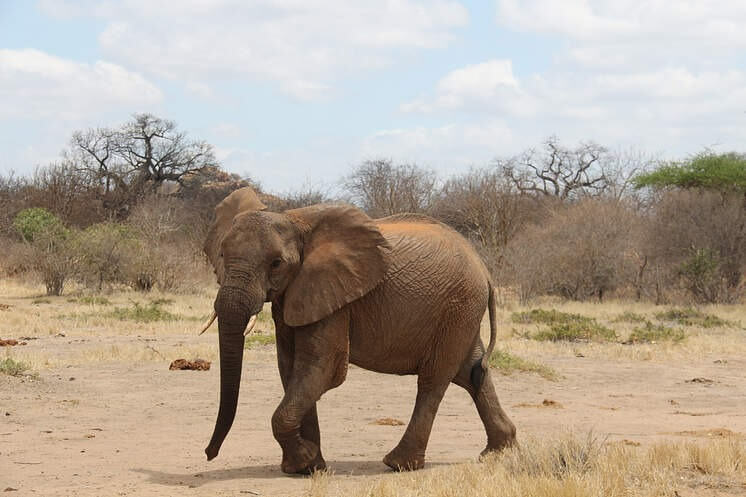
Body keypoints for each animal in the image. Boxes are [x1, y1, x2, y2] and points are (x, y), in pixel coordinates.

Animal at [201, 186, 516, 474]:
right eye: (222, 254)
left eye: (276, 263)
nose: (209, 454)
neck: (294, 219)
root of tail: (484, 269)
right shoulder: (295, 294)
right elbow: (291, 369)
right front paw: (309, 467)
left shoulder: (334, 297)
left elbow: (322, 367)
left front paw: (305, 461)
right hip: (461, 313)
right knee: (472, 372)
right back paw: (498, 452)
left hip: (458, 306)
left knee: (434, 379)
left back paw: (399, 464)